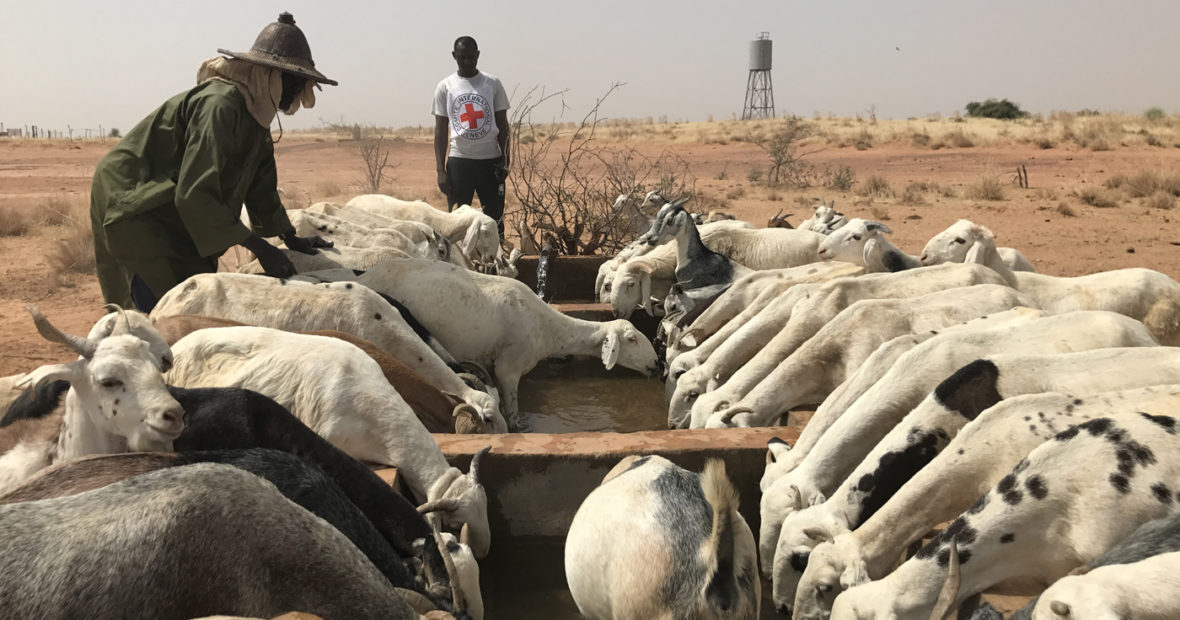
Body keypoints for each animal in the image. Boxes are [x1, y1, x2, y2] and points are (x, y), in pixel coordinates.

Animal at [353, 257, 660, 425]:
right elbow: (513, 415)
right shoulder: (509, 369)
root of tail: (365, 276)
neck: (548, 329)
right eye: (632, 338)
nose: (656, 364)